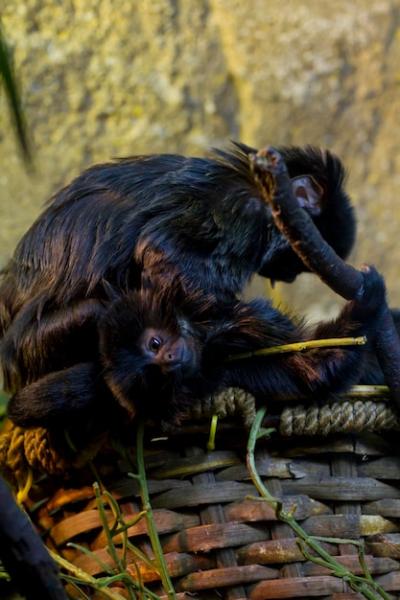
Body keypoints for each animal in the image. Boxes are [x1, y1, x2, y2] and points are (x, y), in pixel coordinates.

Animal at [0, 143, 356, 392]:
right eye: (301, 256)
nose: (290, 276)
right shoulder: (237, 208)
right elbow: (161, 252)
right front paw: (272, 333)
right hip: (37, 349)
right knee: (99, 309)